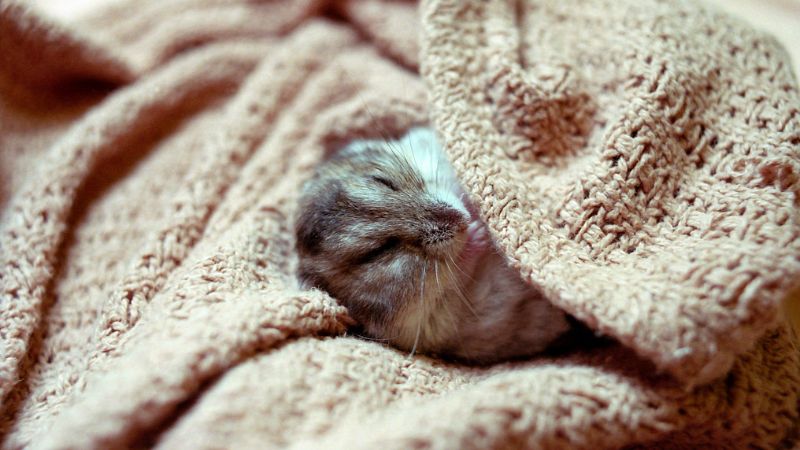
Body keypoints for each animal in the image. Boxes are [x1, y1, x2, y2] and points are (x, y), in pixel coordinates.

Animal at [294, 127, 573, 363]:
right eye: (379, 251)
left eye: (382, 181)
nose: (462, 219)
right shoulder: (426, 324)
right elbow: (457, 276)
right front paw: (478, 232)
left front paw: (475, 210)